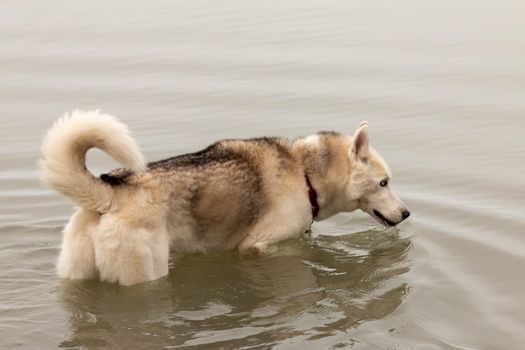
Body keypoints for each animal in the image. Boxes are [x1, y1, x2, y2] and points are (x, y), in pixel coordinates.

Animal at [41, 110, 410, 286]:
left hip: (76, 273)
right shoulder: (258, 247)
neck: (305, 172)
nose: (406, 213)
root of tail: (111, 191)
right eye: (384, 183)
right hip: (144, 274)